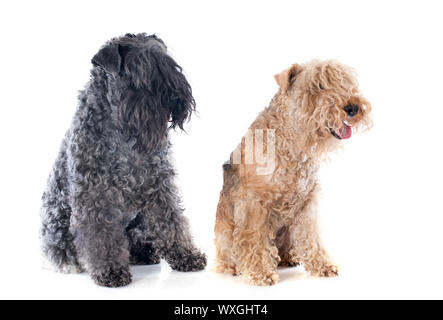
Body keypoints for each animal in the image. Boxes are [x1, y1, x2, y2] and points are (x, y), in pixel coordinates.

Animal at [40, 33, 206, 288]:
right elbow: (100, 236)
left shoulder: (159, 187)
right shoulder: (95, 196)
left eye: (170, 64)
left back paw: (143, 252)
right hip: (57, 225)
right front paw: (110, 270)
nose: (175, 97)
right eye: (140, 71)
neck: (123, 137)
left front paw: (186, 255)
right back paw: (69, 263)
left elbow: (171, 222)